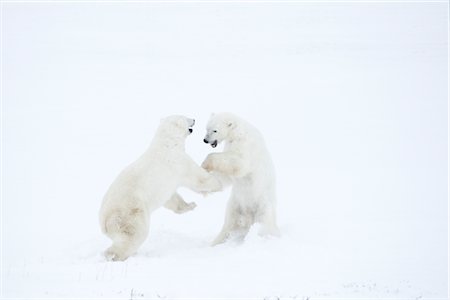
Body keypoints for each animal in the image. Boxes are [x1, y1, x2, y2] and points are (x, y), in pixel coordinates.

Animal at [100, 116, 223, 262]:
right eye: (185, 117)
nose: (194, 119)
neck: (167, 143)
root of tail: (104, 222)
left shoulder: (166, 184)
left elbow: (172, 198)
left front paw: (190, 205)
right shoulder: (179, 162)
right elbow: (197, 178)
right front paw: (218, 183)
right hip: (130, 213)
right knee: (133, 236)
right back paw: (113, 256)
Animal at [202, 112, 280, 246]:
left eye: (215, 130)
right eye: (207, 128)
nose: (205, 140)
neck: (237, 132)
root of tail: (249, 217)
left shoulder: (245, 145)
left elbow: (239, 164)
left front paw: (206, 162)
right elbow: (226, 176)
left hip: (263, 205)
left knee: (264, 223)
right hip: (235, 204)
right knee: (229, 222)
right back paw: (215, 242)